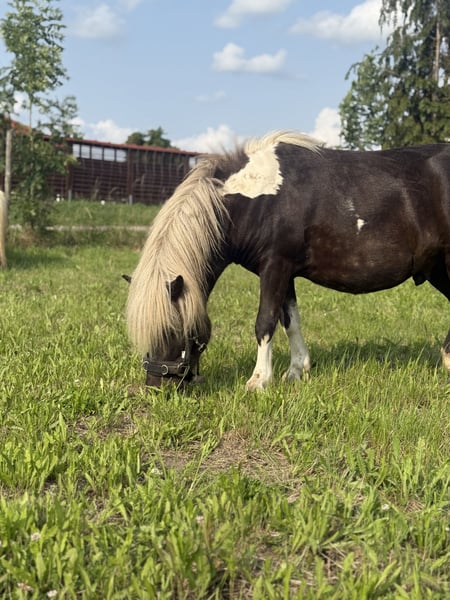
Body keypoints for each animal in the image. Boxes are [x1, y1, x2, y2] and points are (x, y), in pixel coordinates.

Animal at [126, 131, 450, 391]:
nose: (156, 386)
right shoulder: (284, 273)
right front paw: (296, 371)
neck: (256, 199)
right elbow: (290, 321)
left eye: (170, 330)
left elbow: (265, 321)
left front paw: (259, 380)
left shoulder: (275, 267)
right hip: (436, 269)